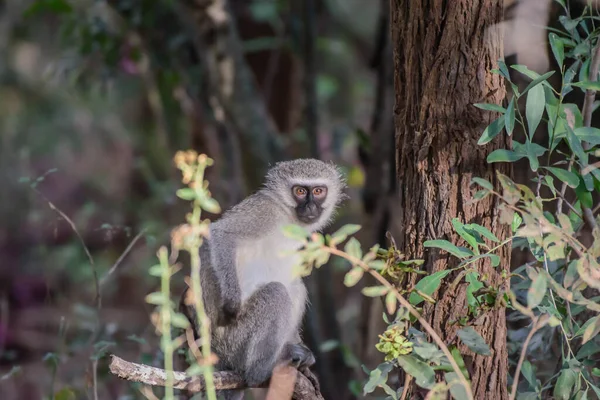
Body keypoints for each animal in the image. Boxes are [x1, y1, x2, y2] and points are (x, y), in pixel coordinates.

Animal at [180, 158, 344, 398]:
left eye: (318, 191)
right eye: (300, 191)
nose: (310, 207)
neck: (287, 216)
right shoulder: (263, 211)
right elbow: (220, 235)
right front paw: (232, 302)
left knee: (295, 287)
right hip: (234, 343)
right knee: (276, 292)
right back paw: (261, 370)